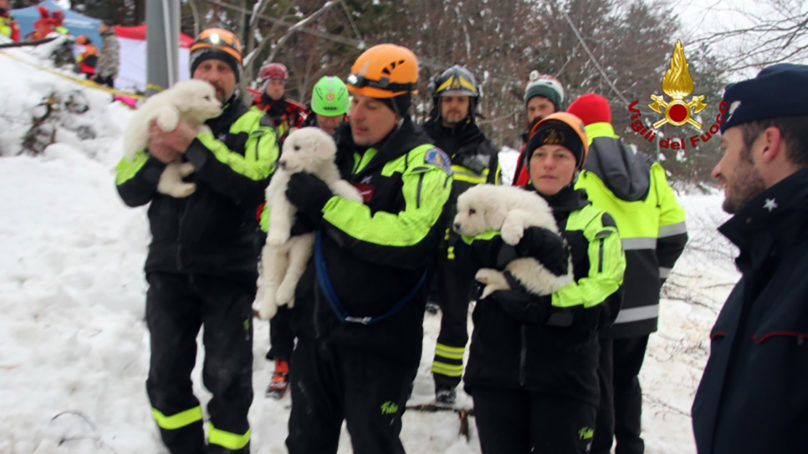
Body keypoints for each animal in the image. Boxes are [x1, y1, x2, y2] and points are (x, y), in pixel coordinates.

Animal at [258, 127, 362, 320]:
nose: (281, 162)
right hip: (271, 254)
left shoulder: (326, 181)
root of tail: (287, 252)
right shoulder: (283, 191)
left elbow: (338, 184)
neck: (310, 173)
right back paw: (269, 307)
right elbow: (279, 213)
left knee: (294, 271)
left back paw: (285, 295)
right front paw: (277, 235)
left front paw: (354, 196)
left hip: (304, 245)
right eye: (284, 149)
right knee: (271, 281)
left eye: (297, 148)